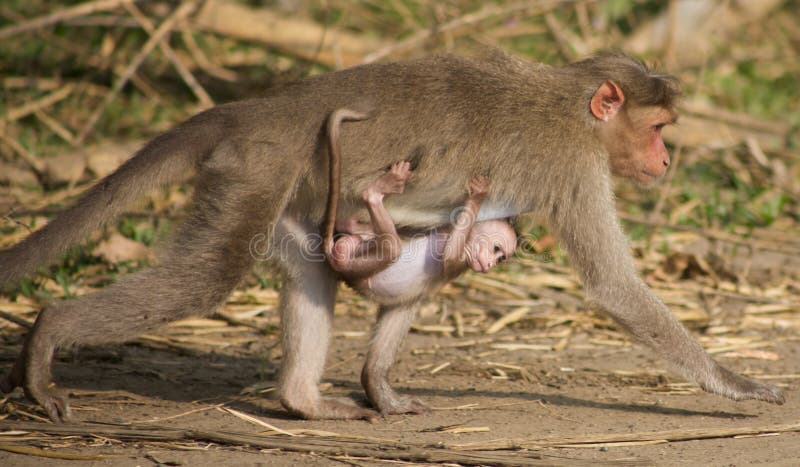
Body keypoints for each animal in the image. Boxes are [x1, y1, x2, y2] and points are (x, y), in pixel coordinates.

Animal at [0, 51, 784, 423]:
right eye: (658, 129)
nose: (667, 160)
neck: (571, 106)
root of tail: (254, 111)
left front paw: (380, 383)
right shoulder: (574, 164)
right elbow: (616, 287)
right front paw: (736, 381)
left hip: (297, 195)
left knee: (313, 271)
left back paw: (303, 401)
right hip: (258, 169)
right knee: (209, 275)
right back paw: (48, 335)